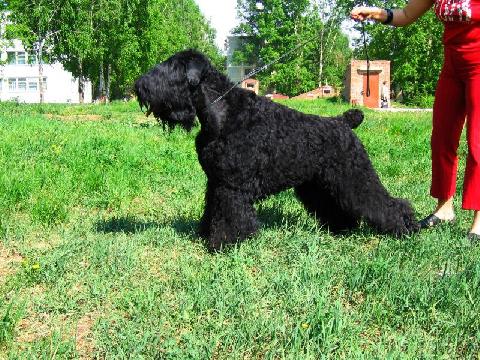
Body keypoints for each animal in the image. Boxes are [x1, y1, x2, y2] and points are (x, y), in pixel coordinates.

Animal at [134, 49, 416, 250]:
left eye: (172, 68)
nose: (140, 86)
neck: (223, 114)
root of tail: (343, 122)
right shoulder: (216, 183)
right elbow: (211, 210)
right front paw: (205, 234)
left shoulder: (231, 186)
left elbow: (228, 215)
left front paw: (224, 243)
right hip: (319, 183)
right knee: (336, 206)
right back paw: (342, 228)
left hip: (354, 176)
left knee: (386, 203)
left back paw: (405, 227)